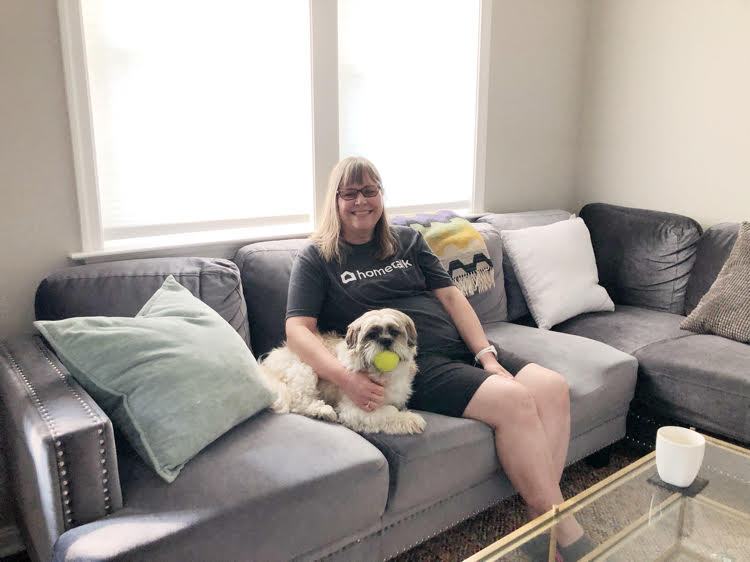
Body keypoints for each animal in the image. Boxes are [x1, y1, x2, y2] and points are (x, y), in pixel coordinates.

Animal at [260, 306, 426, 434]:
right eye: (371, 335)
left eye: (394, 332)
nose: (385, 340)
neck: (382, 373)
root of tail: (267, 363)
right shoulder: (355, 410)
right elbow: (389, 412)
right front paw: (410, 419)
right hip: (304, 369)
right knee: (299, 402)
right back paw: (322, 411)